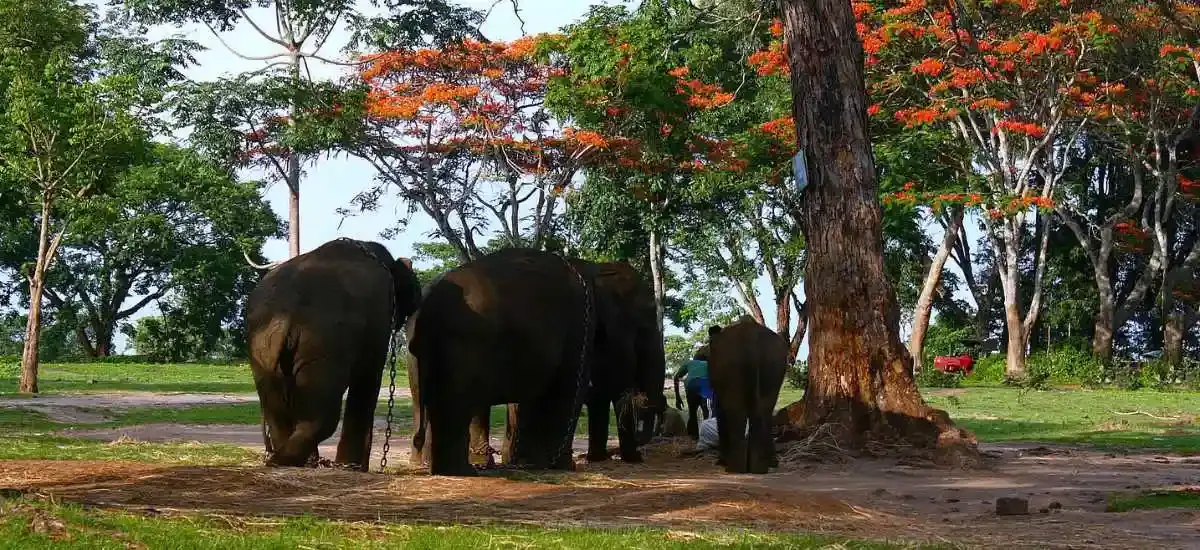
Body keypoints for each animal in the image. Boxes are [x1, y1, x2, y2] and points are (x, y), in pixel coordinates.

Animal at [245, 238, 421, 471]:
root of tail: (284, 313)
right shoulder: (380, 314)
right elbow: (369, 376)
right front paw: (354, 467)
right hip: (324, 343)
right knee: (322, 415)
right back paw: (293, 461)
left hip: (261, 346)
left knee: (276, 407)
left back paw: (288, 461)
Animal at [707, 315, 788, 474]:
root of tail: (750, 339)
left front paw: (721, 461)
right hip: (773, 366)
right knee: (765, 409)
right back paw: (760, 467)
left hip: (731, 365)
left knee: (735, 409)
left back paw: (733, 468)